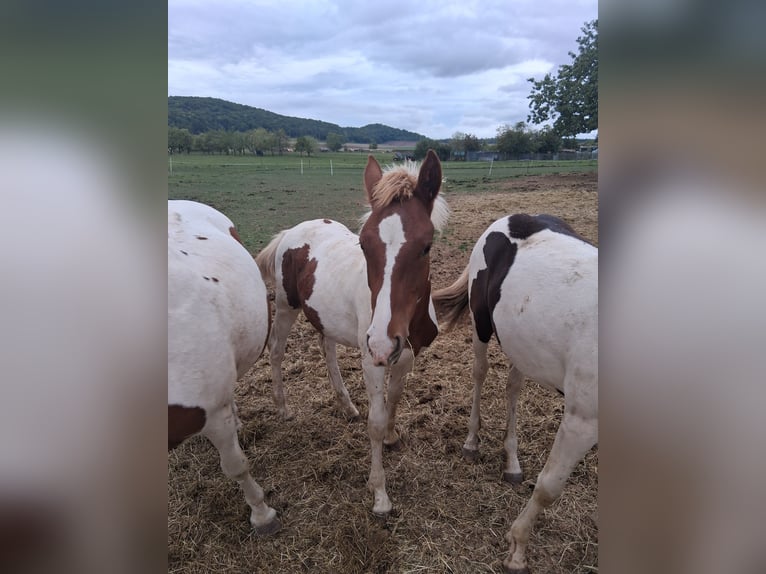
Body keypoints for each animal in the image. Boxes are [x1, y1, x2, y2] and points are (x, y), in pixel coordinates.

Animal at [255, 150, 449, 516]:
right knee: (276, 350)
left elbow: (394, 399)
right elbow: (375, 420)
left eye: (426, 246)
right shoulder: (372, 359)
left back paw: (346, 406)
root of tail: (292, 232)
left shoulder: (406, 355)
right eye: (364, 243)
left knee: (326, 348)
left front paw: (391, 437)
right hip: (287, 306)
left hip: (325, 318)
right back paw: (283, 408)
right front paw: (380, 494)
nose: (384, 341)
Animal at [432, 213, 597, 574]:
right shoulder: (582, 420)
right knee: (480, 373)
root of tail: (507, 219)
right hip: (481, 325)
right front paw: (518, 548)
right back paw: (472, 442)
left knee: (513, 388)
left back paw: (511, 461)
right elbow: (550, 486)